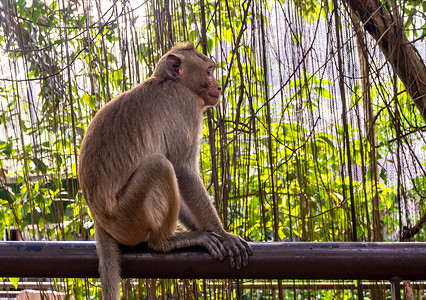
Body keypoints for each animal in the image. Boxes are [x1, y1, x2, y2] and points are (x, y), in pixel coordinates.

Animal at [78, 42, 251, 300]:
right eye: (209, 71)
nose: (219, 86)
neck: (169, 82)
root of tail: (99, 220)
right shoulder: (187, 107)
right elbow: (182, 170)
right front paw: (223, 234)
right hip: (127, 217)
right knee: (159, 165)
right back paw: (166, 241)